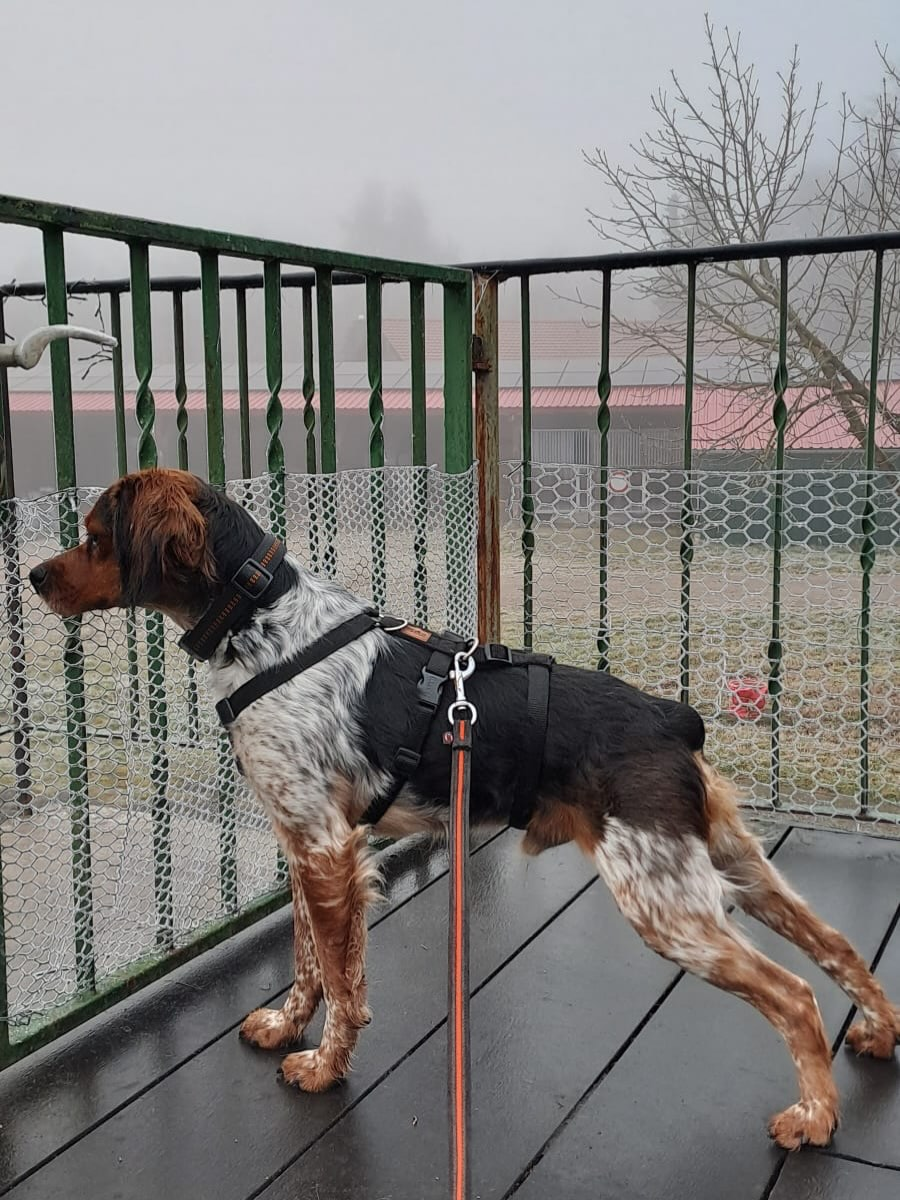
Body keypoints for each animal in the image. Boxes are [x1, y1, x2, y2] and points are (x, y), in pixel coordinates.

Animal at [29, 467, 899, 1150]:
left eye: (96, 535)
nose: (34, 576)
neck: (265, 626)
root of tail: (670, 717)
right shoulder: (305, 841)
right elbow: (308, 960)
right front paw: (286, 1024)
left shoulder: (325, 848)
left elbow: (343, 982)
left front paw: (324, 1066)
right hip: (728, 864)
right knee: (839, 947)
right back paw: (879, 1032)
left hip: (664, 903)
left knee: (794, 995)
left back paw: (814, 1117)